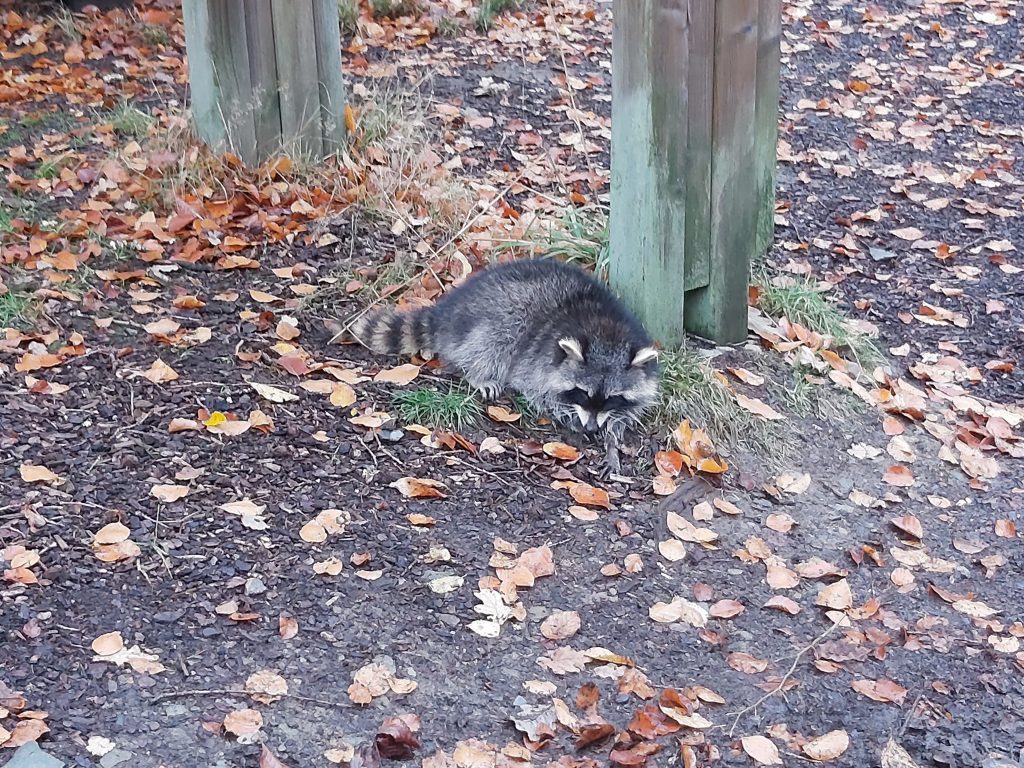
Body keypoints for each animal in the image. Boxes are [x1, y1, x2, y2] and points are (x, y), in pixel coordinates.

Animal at [354, 259, 660, 444]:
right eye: (582, 393)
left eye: (612, 398)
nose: (592, 428)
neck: (605, 330)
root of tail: (449, 310)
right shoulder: (538, 353)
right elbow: (534, 386)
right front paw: (564, 411)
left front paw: (621, 418)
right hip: (501, 314)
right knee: (494, 339)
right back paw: (479, 373)